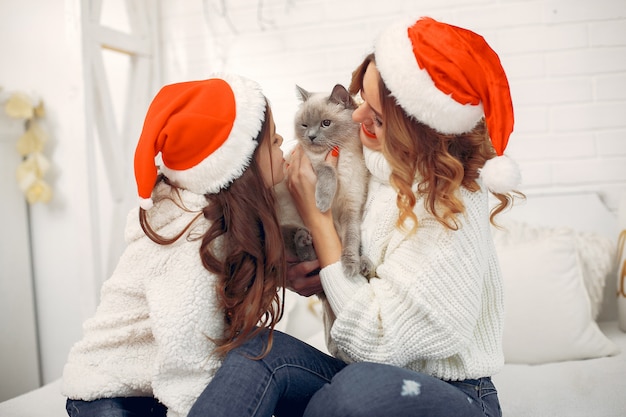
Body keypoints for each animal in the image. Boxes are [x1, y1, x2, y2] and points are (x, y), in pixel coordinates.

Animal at [276, 83, 368, 276]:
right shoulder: (313, 164)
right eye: (304, 125)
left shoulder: (351, 207)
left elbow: (351, 238)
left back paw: (364, 263)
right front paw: (323, 203)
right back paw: (303, 241)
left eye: (326, 123)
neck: (344, 152)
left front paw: (351, 265)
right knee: (306, 257)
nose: (311, 136)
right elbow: (329, 170)